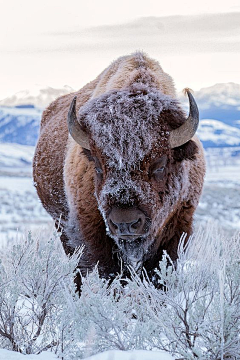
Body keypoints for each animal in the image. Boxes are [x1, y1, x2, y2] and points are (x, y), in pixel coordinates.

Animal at [32, 51, 205, 286]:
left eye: (160, 165)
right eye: (97, 166)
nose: (125, 224)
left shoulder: (178, 228)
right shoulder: (91, 233)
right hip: (62, 227)